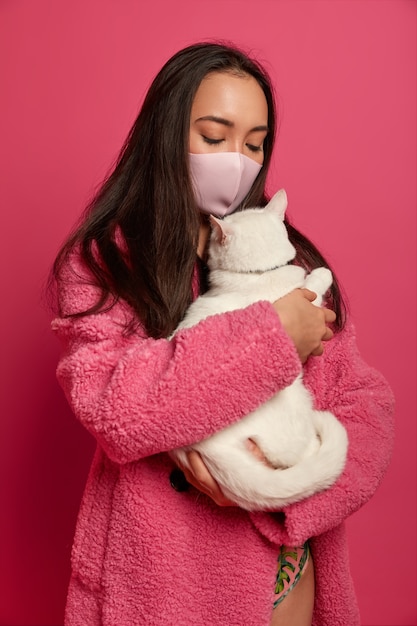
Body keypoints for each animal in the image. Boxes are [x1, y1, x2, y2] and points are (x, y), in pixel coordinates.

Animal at [169, 189, 348, 508]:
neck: (258, 274)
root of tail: (213, 453)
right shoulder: (305, 306)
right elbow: (313, 286)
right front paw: (322, 273)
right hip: (295, 404)